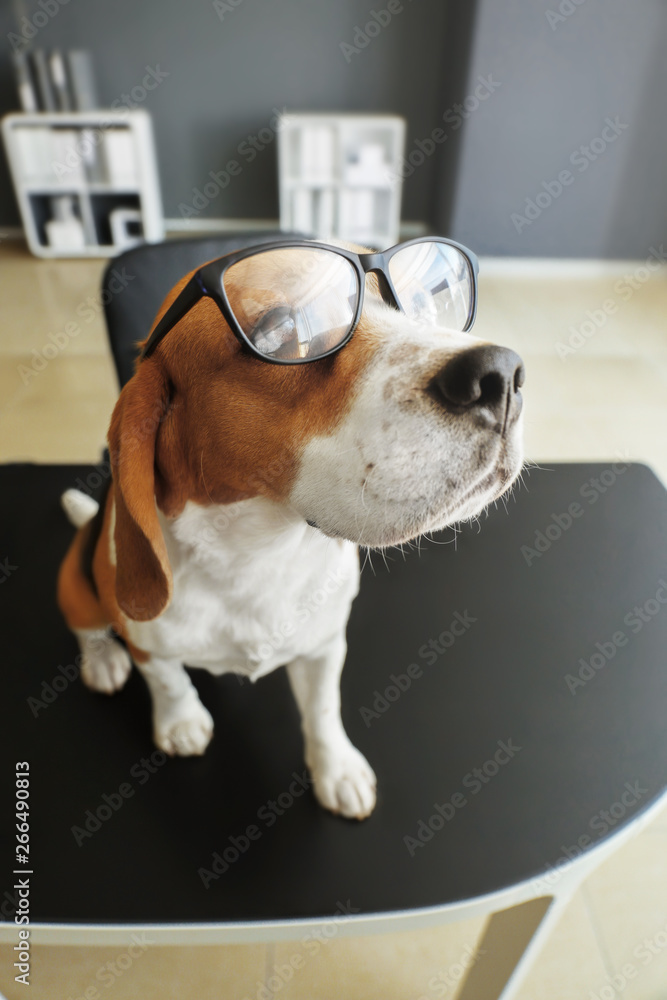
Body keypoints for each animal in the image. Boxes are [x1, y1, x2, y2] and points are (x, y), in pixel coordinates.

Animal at [57, 238, 524, 816]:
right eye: (279, 331)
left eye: (420, 298)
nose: (502, 374)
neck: (258, 555)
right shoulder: (146, 640)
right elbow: (167, 681)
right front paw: (181, 722)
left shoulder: (324, 646)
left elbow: (322, 711)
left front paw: (335, 768)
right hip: (76, 585)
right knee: (87, 627)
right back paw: (102, 661)